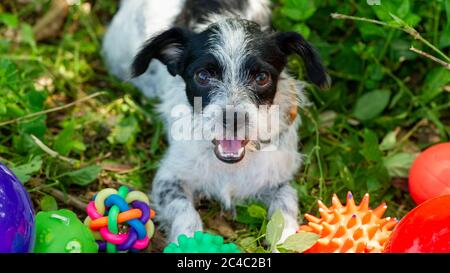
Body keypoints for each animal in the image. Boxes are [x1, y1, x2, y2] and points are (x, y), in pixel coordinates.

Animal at [103, 0, 330, 242]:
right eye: (202, 76)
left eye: (262, 77)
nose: (232, 119)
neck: (231, 167)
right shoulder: (168, 179)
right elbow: (185, 212)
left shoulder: (278, 181)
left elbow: (285, 210)